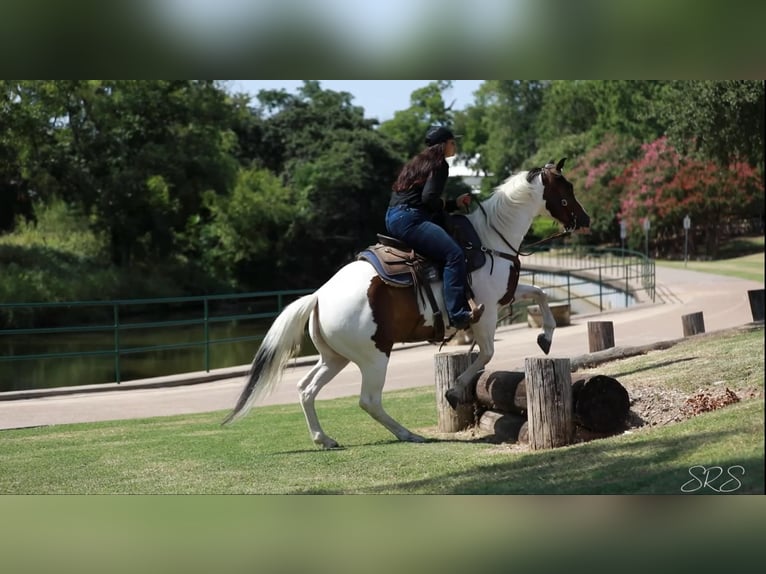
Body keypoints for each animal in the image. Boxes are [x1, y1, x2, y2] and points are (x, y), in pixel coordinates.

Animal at [222, 159, 592, 450]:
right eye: (567, 187)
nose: (585, 219)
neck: (490, 241)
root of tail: (319, 296)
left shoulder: (505, 297)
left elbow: (540, 295)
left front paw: (545, 337)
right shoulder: (484, 314)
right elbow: (486, 353)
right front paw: (454, 392)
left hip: (335, 358)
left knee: (306, 389)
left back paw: (324, 439)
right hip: (374, 356)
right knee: (368, 400)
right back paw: (407, 434)